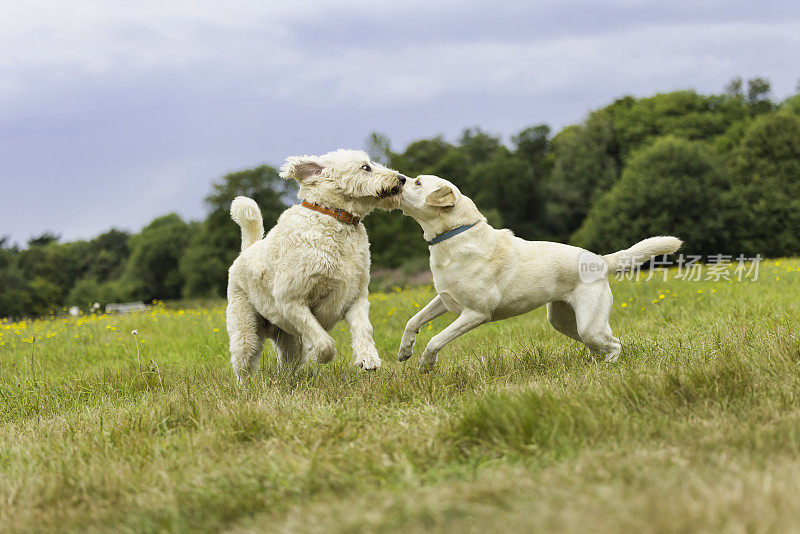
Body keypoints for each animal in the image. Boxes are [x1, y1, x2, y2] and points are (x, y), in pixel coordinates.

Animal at [225, 149, 406, 384]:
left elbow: (364, 328)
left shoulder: (356, 298)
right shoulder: (291, 301)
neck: (334, 217)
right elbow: (323, 339)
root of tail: (246, 250)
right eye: (365, 167)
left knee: (287, 362)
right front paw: (320, 356)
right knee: (244, 363)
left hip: (288, 340)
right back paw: (247, 386)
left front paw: (368, 358)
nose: (402, 179)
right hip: (246, 330)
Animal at [396, 176, 680, 372]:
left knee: (615, 344)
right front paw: (404, 351)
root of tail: (600, 260)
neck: (454, 235)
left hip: (588, 325)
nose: (398, 179)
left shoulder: (475, 313)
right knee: (604, 342)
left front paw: (425, 364)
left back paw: (609, 368)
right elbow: (413, 320)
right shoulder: (445, 300)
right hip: (565, 322)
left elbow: (436, 339)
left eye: (417, 182)